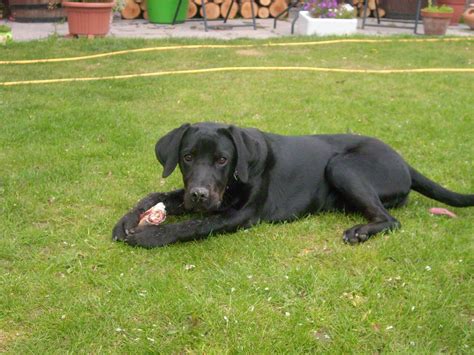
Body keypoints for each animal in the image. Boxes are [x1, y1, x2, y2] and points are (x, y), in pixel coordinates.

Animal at [112, 121, 474, 248]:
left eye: (222, 160)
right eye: (187, 157)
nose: (200, 196)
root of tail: (403, 161)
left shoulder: (239, 215)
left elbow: (191, 226)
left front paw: (151, 236)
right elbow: (155, 195)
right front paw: (127, 221)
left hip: (341, 166)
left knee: (391, 219)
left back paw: (360, 232)